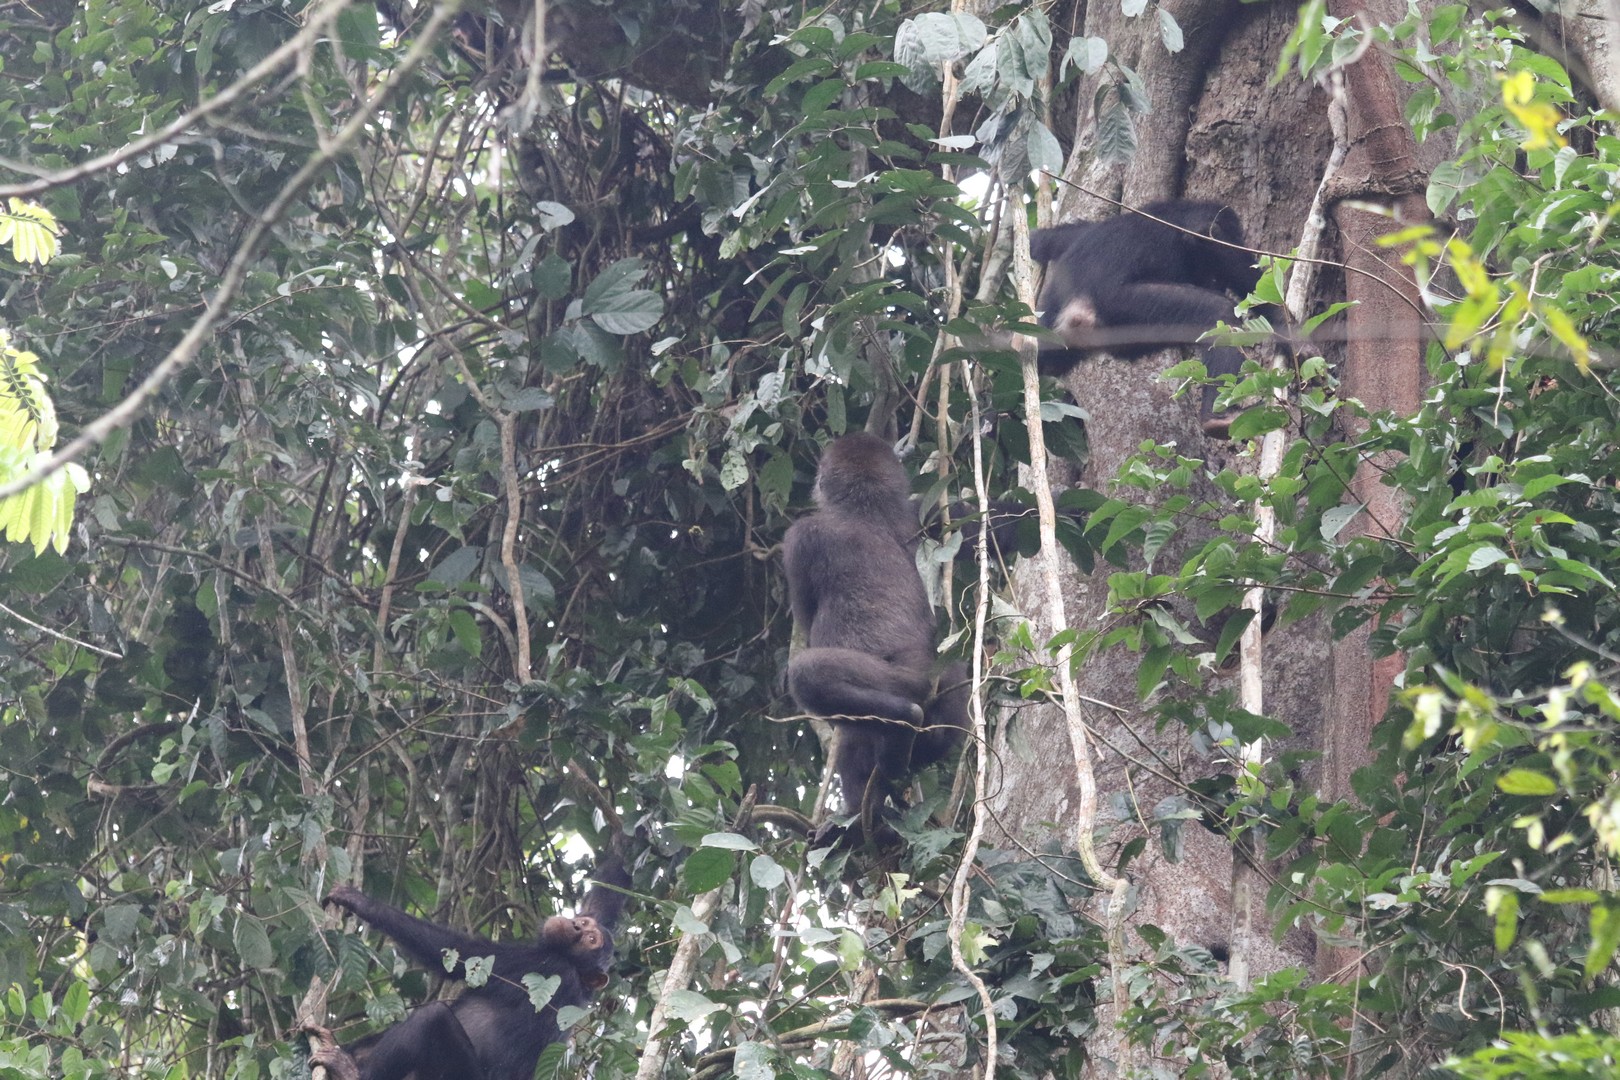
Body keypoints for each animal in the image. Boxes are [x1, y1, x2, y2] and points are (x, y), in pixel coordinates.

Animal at [309, 854, 631, 1075]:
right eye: (587, 926)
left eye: (590, 939)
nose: (575, 925)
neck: (573, 964)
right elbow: (605, 894)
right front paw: (628, 839)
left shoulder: (539, 965)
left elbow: (455, 952)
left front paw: (357, 900)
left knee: (432, 1018)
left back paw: (350, 1072)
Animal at [787, 433, 965, 841]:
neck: (867, 505)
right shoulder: (927, 512)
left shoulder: (801, 536)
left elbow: (805, 612)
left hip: (902, 680)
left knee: (810, 676)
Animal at [1036, 198, 1276, 433]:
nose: (1213, 282)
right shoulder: (1211, 224)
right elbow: (1216, 245)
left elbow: (1056, 238)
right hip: (1125, 304)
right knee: (1219, 314)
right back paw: (1218, 418)